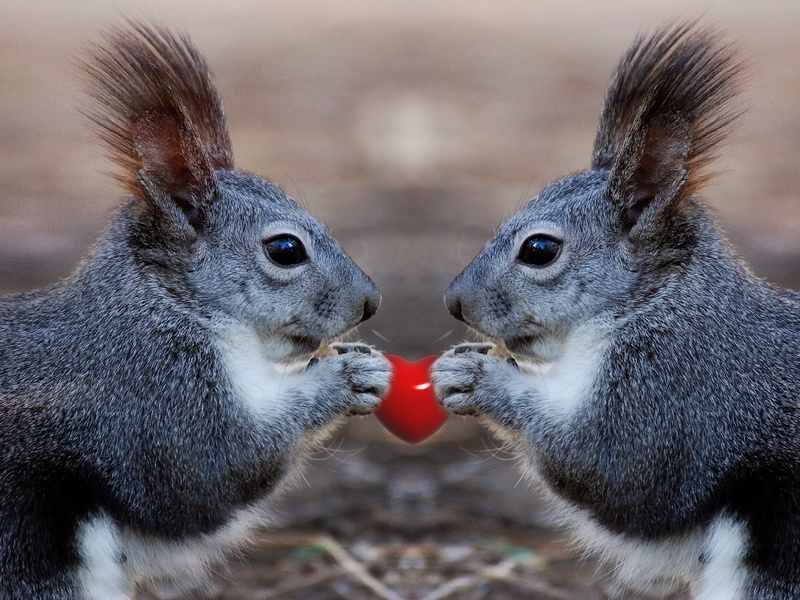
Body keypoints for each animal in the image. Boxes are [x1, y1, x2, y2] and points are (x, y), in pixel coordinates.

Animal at [0, 20, 390, 600]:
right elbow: (213, 473)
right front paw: (344, 379)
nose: (370, 303)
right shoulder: (153, 396)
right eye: (285, 249)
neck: (169, 304)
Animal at [432, 21, 800, 599]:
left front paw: (479, 379)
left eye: (540, 250)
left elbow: (615, 472)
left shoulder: (683, 393)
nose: (454, 302)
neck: (656, 302)